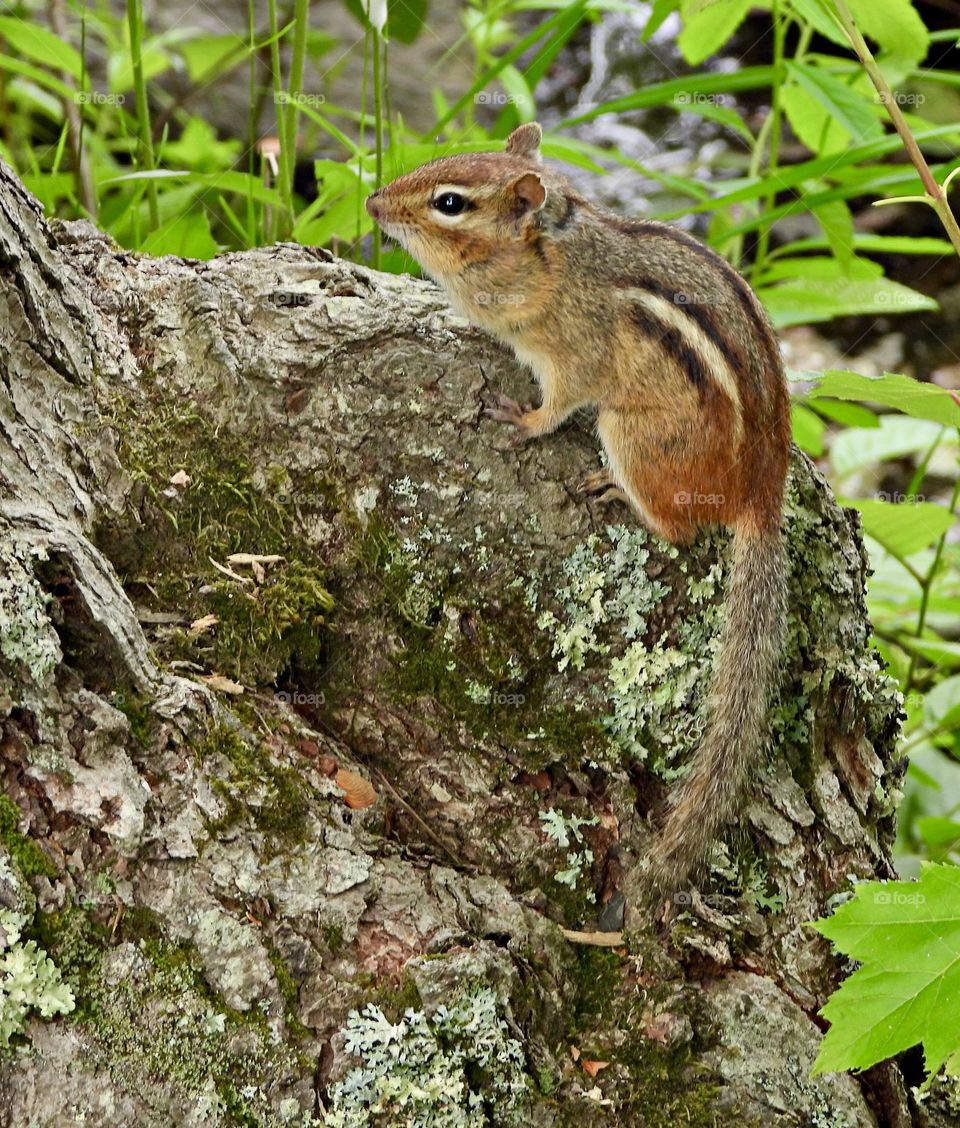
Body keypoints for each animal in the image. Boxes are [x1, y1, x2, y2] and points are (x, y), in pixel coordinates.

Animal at [365, 122, 790, 910]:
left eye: (449, 203)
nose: (376, 203)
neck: (550, 255)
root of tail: (764, 494)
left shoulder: (572, 352)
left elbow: (559, 400)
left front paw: (524, 420)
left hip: (630, 434)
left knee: (679, 526)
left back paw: (618, 494)